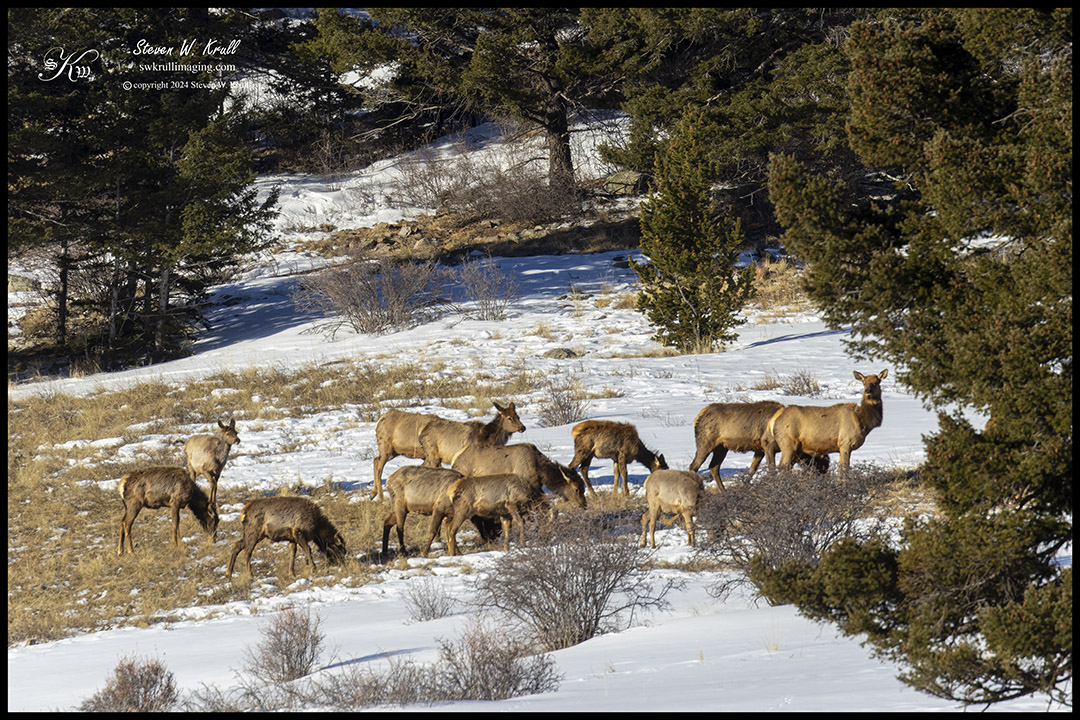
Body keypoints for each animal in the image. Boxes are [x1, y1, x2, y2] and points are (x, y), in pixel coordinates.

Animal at [689, 401, 829, 490]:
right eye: (820, 463)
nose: (822, 480)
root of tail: (697, 417)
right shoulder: (768, 445)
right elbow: (771, 470)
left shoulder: (760, 449)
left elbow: (752, 469)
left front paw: (744, 486)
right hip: (705, 442)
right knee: (694, 465)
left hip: (721, 447)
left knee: (714, 466)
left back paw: (724, 490)